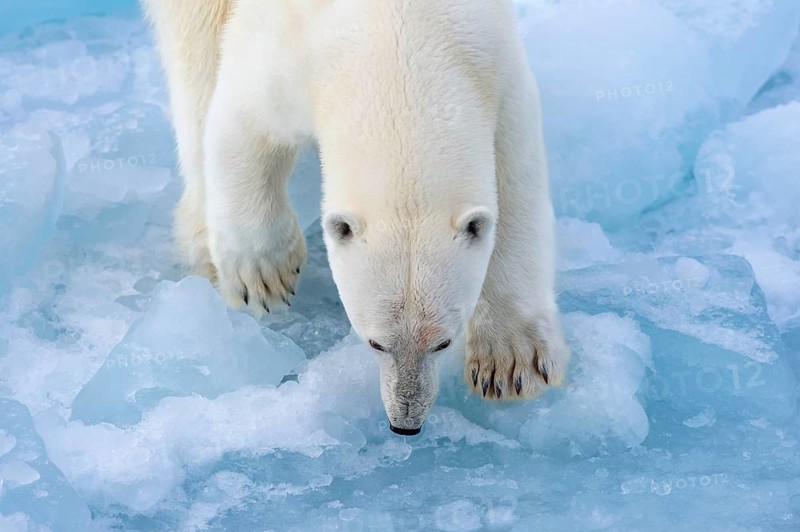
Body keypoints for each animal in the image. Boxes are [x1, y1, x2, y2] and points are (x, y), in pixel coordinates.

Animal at [142, 0, 570, 434]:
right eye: (375, 341)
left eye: (443, 342)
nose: (405, 422)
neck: (400, 30)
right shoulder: (283, 50)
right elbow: (242, 124)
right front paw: (264, 276)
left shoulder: (493, 63)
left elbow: (515, 181)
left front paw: (512, 363)